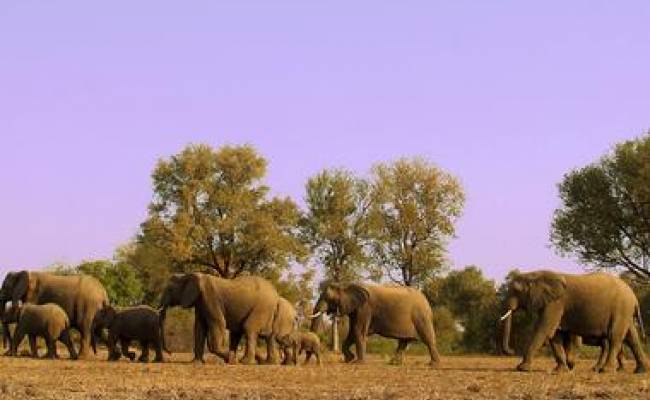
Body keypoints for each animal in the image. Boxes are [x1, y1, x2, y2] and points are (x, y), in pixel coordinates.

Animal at [308, 282, 440, 366]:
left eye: (328, 299)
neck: (346, 286)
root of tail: (425, 299)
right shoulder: (355, 310)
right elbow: (352, 333)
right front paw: (349, 359)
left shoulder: (364, 308)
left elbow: (358, 331)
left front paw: (358, 363)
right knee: (404, 341)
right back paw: (394, 363)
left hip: (421, 317)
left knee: (428, 339)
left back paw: (433, 364)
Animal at [498, 270, 644, 374]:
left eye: (516, 290)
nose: (511, 350)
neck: (535, 274)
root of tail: (634, 297)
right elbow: (555, 335)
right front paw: (561, 370)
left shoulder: (555, 303)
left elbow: (544, 330)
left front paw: (522, 368)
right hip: (625, 312)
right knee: (632, 337)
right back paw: (640, 371)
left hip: (621, 308)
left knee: (614, 337)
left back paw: (605, 371)